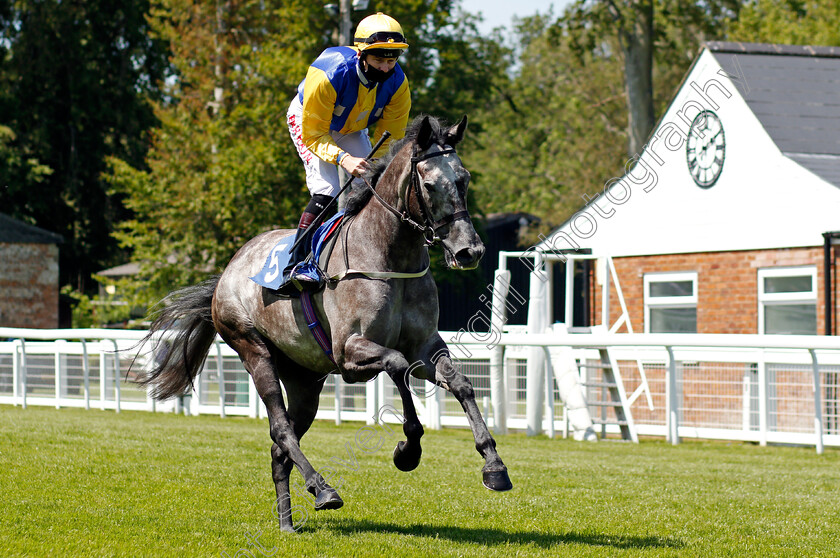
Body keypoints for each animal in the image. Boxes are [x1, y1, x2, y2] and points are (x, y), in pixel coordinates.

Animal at [139, 115, 512, 532]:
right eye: (430, 184)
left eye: (464, 179)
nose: (470, 251)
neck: (388, 256)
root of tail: (226, 274)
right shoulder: (349, 352)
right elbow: (397, 365)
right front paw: (407, 450)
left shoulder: (426, 346)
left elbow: (460, 383)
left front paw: (494, 466)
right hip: (253, 350)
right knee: (281, 429)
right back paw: (323, 490)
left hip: (305, 381)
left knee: (280, 447)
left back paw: (287, 521)